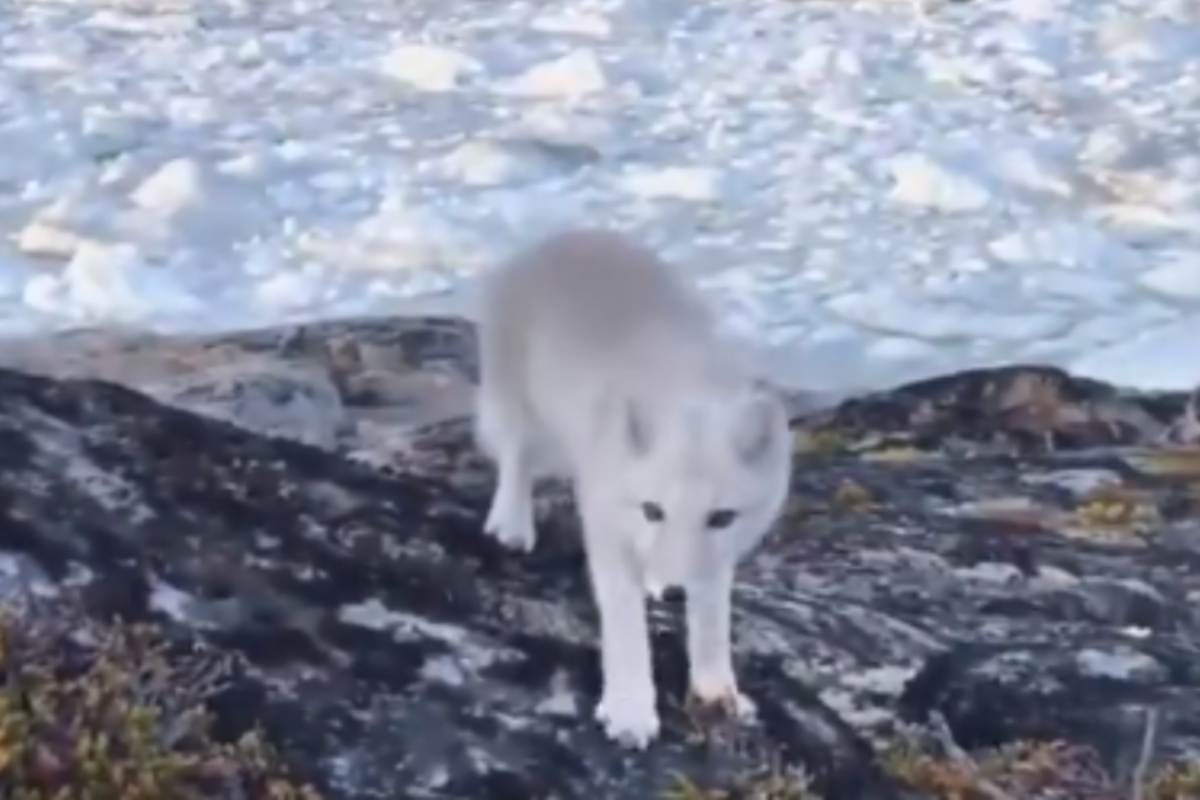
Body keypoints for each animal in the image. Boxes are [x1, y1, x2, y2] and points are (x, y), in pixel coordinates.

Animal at [473, 228, 793, 748]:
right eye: (652, 510)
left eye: (721, 517)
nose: (675, 593)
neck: (686, 384)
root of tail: (559, 238)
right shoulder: (606, 524)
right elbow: (624, 626)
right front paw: (629, 711)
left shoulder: (718, 556)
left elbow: (713, 619)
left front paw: (716, 689)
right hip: (522, 410)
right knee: (515, 458)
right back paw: (512, 525)